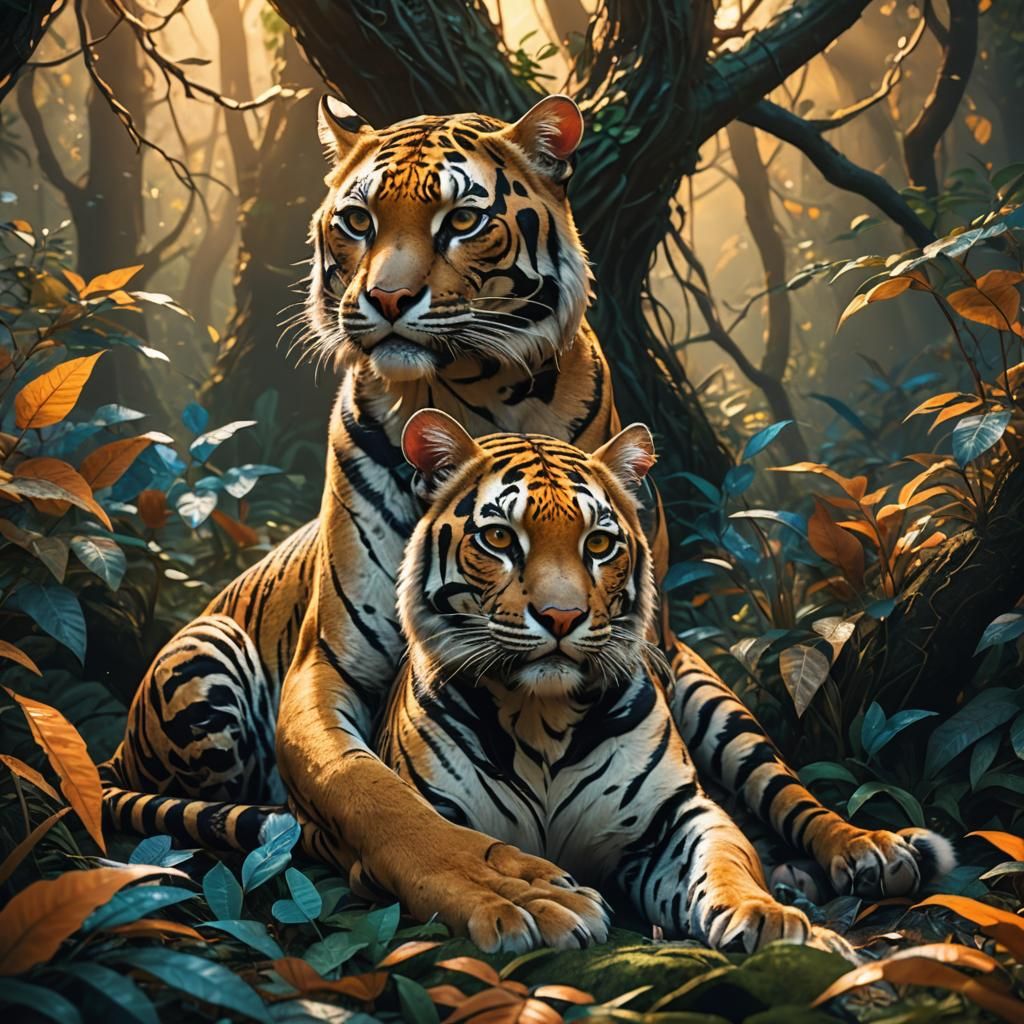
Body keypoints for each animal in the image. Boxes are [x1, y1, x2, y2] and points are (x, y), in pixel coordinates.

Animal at [101, 93, 954, 949]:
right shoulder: (328, 666)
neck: (458, 394)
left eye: (461, 219)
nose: (386, 301)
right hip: (205, 652)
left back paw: (861, 851)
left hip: (700, 681)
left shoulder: (644, 657)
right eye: (357, 221)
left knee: (776, 781)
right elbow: (374, 793)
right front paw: (512, 889)